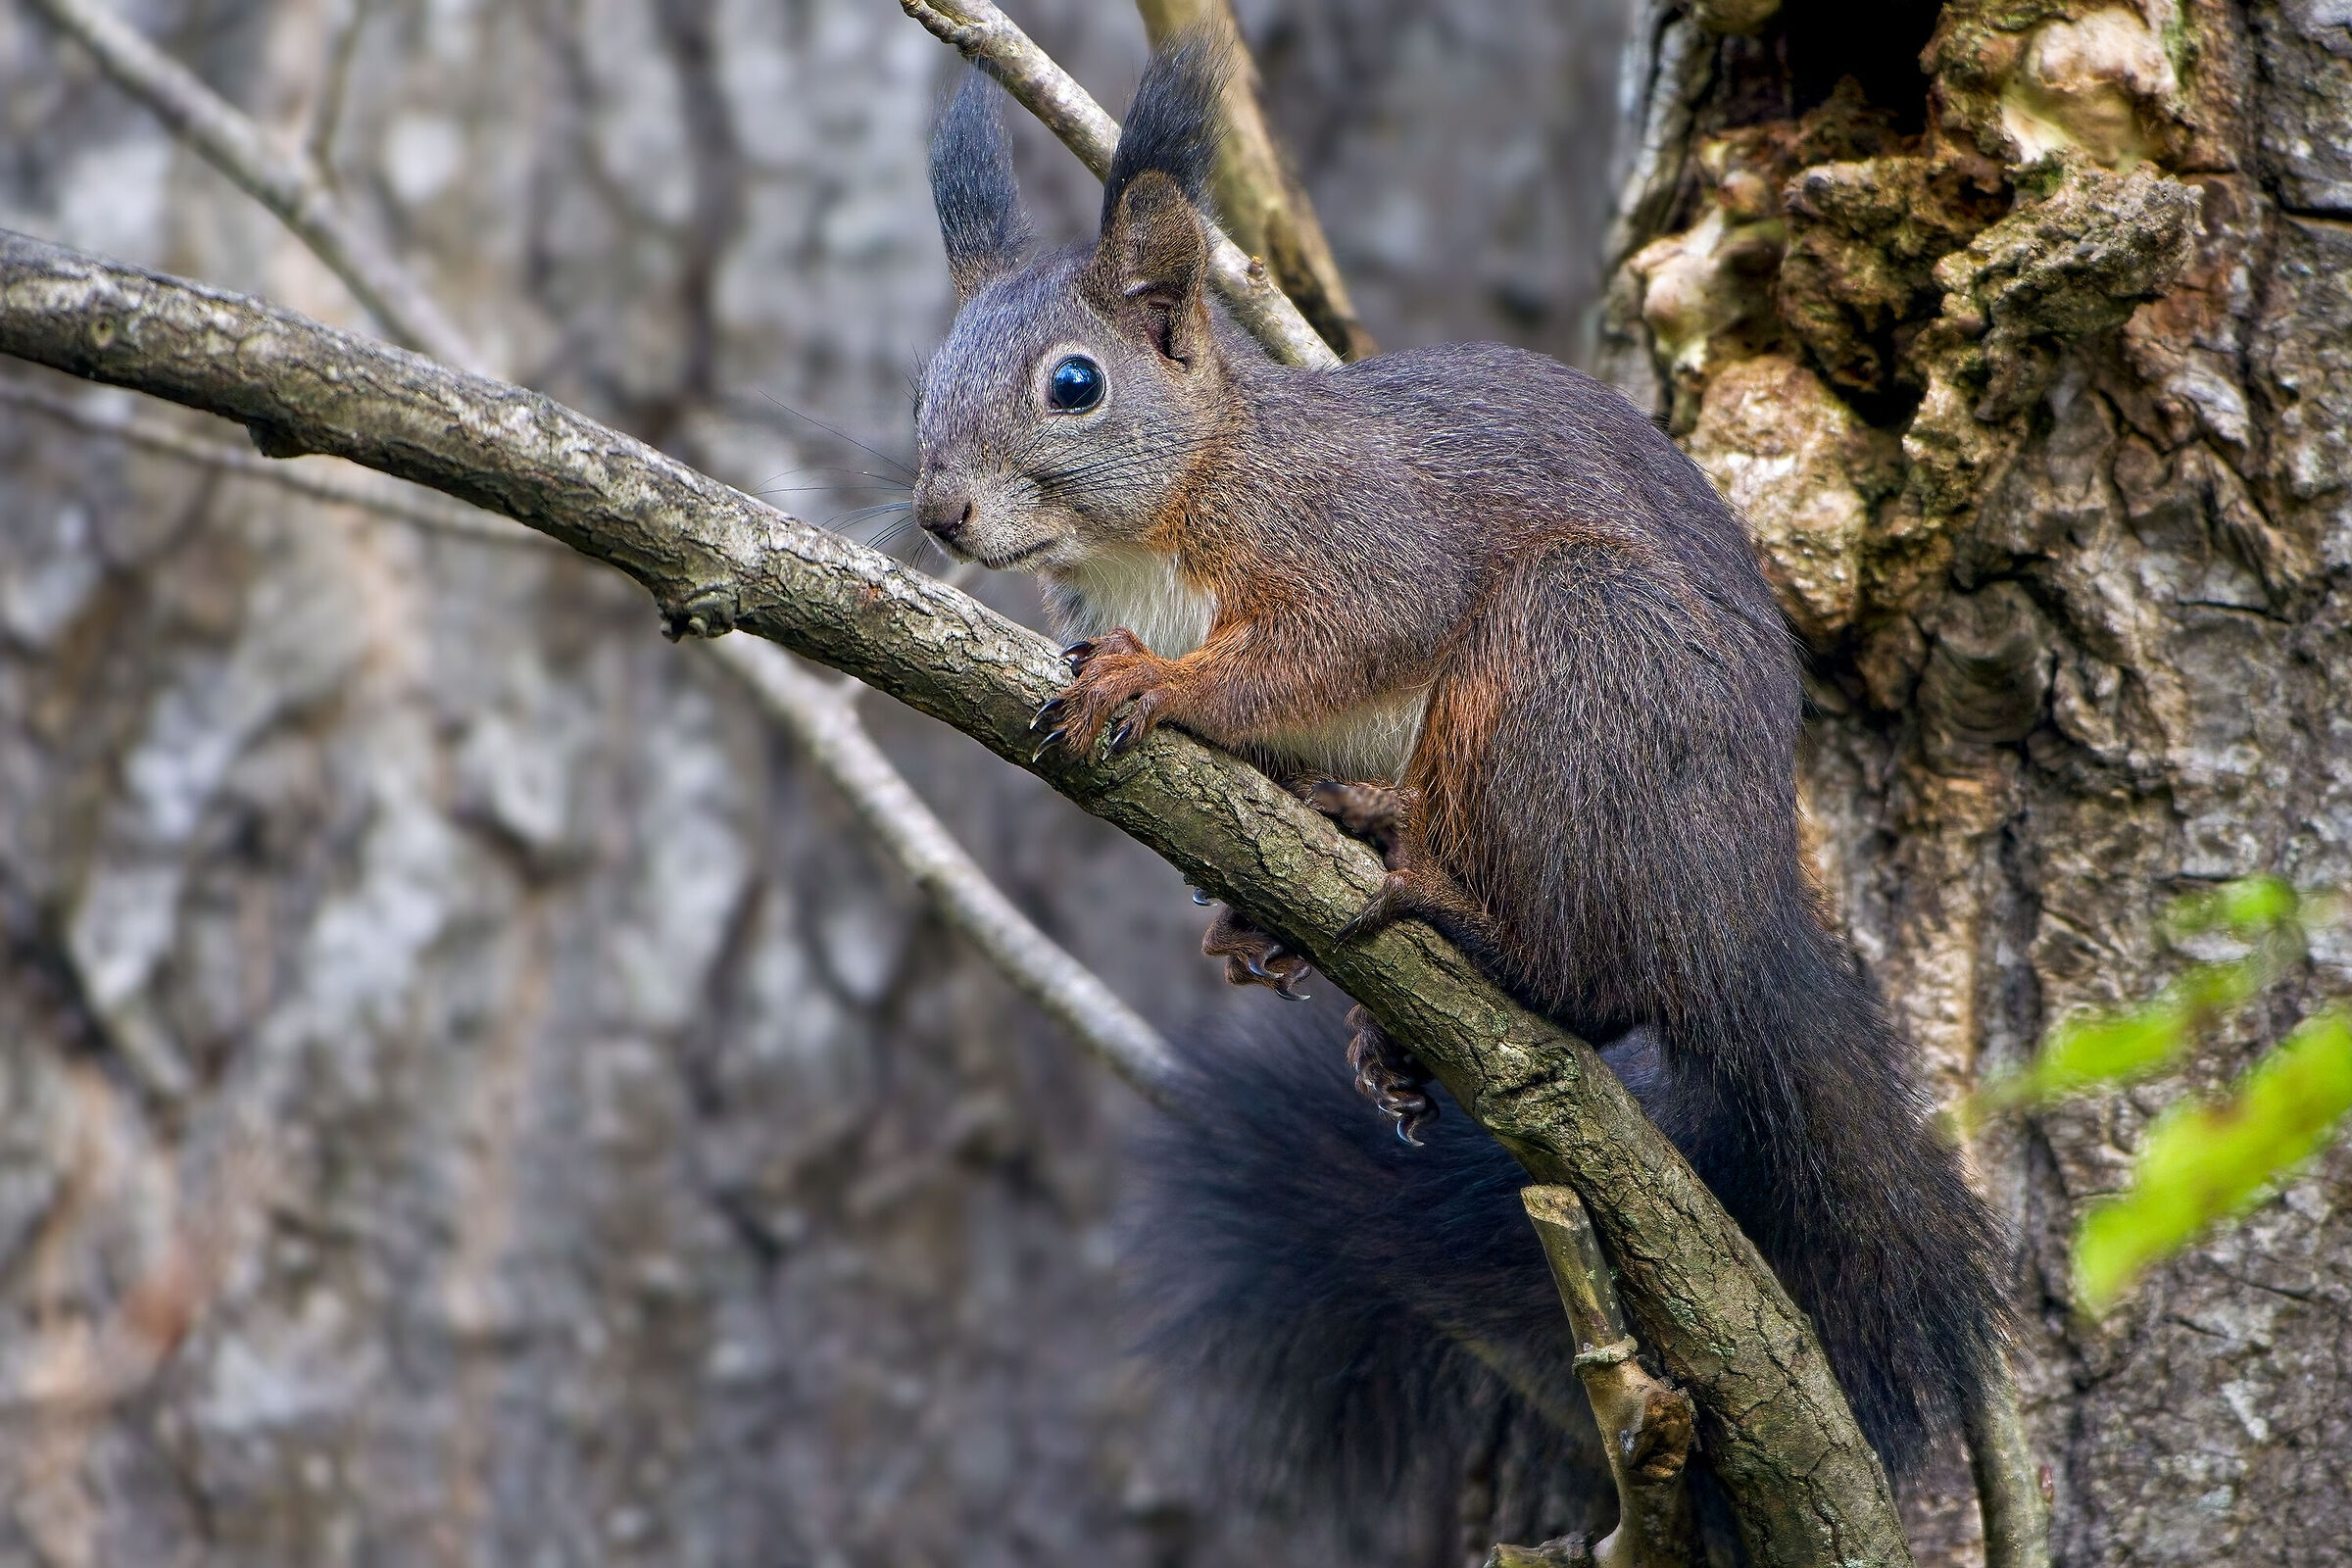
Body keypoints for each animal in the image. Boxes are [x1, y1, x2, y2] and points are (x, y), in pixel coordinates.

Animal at [909, 38, 2010, 1534]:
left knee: (1592, 968)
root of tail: (1741, 911)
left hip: (1571, 664)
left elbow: (1333, 641)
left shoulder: (1370, 543)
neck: (1183, 501)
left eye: (1072, 386)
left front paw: (1159, 686)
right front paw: (1227, 886)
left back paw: (1438, 896)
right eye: (924, 382)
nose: (939, 513)